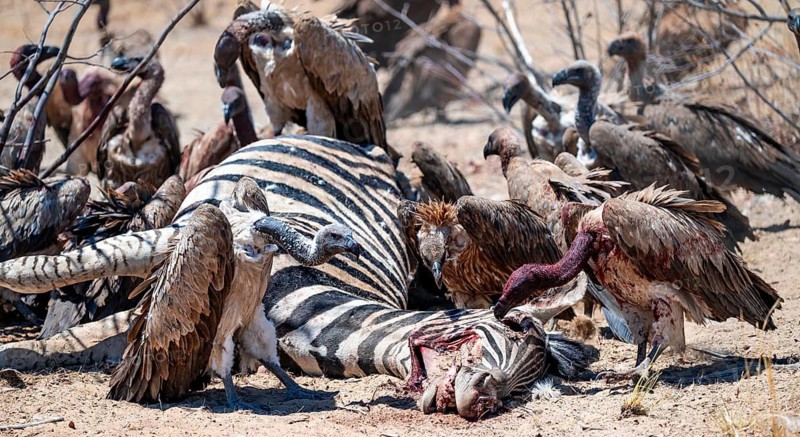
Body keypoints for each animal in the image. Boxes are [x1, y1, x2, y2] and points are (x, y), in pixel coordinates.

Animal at [0, 135, 597, 419]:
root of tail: (363, 146)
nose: (487, 400)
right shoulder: (184, 244)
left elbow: (80, 330)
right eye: (519, 330)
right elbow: (50, 270)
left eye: (529, 383)